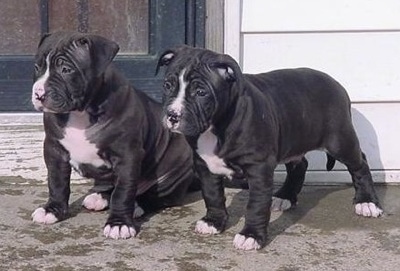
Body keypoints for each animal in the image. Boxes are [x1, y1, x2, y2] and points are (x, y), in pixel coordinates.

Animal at [29, 32, 195, 240]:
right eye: (37, 67)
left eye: (66, 69)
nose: (39, 93)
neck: (81, 113)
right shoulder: (54, 150)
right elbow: (56, 182)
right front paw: (52, 210)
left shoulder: (127, 156)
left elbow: (123, 192)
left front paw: (119, 223)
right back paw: (99, 197)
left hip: (174, 170)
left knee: (154, 197)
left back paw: (136, 206)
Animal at [155, 45, 382, 252]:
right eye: (167, 85)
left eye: (201, 92)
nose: (172, 115)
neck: (216, 125)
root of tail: (337, 85)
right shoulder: (204, 165)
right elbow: (212, 195)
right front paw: (214, 221)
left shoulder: (258, 168)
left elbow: (256, 205)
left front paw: (251, 236)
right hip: (292, 140)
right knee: (299, 165)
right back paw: (285, 196)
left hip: (340, 141)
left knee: (360, 163)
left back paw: (367, 202)